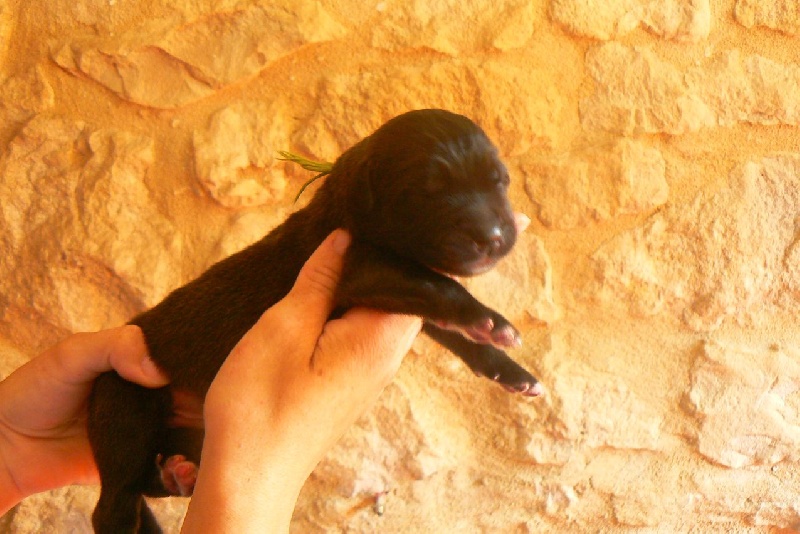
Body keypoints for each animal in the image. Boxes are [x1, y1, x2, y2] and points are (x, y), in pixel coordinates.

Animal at [87, 108, 540, 532]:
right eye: (431, 192)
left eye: (500, 181)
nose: (493, 237)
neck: (348, 201)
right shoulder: (364, 269)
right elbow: (442, 288)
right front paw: (489, 318)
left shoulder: (407, 303)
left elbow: (455, 331)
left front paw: (508, 368)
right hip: (126, 408)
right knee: (115, 502)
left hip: (191, 437)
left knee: (148, 481)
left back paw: (178, 474)